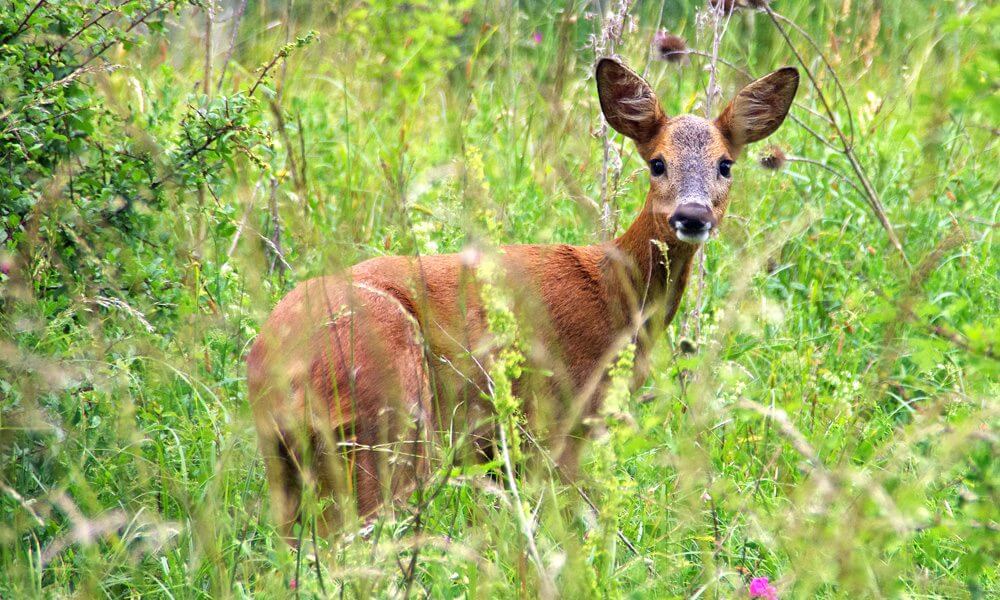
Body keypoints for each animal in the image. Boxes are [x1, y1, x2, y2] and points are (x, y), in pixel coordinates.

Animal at [248, 59, 796, 536]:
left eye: (726, 164)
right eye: (657, 162)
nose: (693, 215)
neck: (616, 299)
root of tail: (272, 365)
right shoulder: (558, 415)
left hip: (289, 462)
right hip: (390, 413)